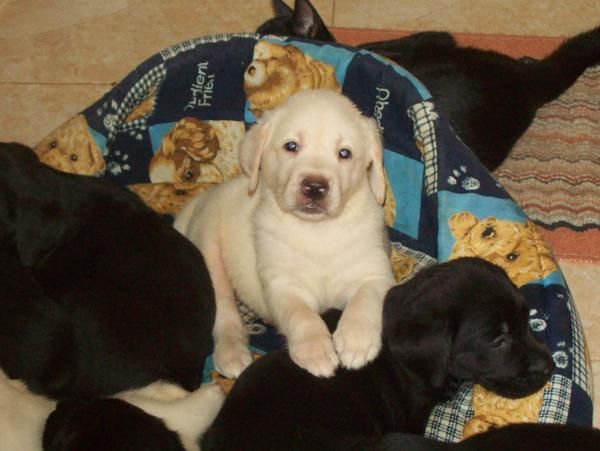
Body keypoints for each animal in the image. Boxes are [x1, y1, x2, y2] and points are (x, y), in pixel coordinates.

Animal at [176, 88, 396, 378]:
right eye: (291, 146)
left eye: (344, 153)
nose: (314, 186)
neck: (318, 232)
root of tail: (197, 203)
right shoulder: (282, 285)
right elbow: (301, 314)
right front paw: (315, 350)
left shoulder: (374, 272)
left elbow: (365, 298)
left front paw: (356, 339)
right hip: (210, 253)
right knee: (225, 314)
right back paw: (232, 354)